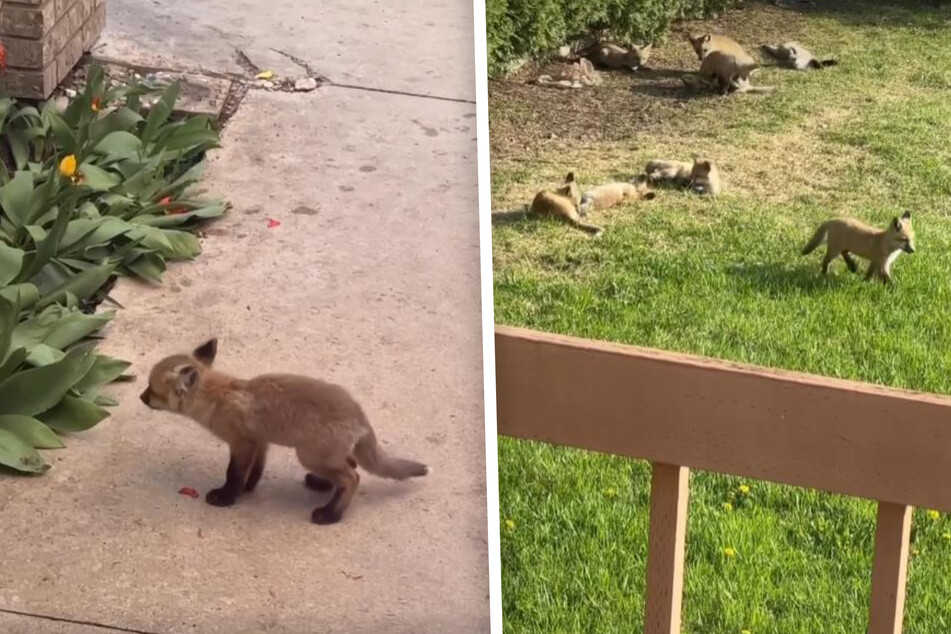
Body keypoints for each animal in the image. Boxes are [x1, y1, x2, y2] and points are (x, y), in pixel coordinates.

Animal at [140, 339, 428, 525]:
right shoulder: (261, 441)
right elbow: (254, 472)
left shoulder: (242, 442)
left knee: (352, 477)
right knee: (350, 466)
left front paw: (226, 497)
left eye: (152, 389)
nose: (141, 397)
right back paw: (323, 486)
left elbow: (233, 473)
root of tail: (360, 414)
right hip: (323, 457)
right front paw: (248, 489)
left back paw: (330, 515)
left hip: (309, 455)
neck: (218, 396)